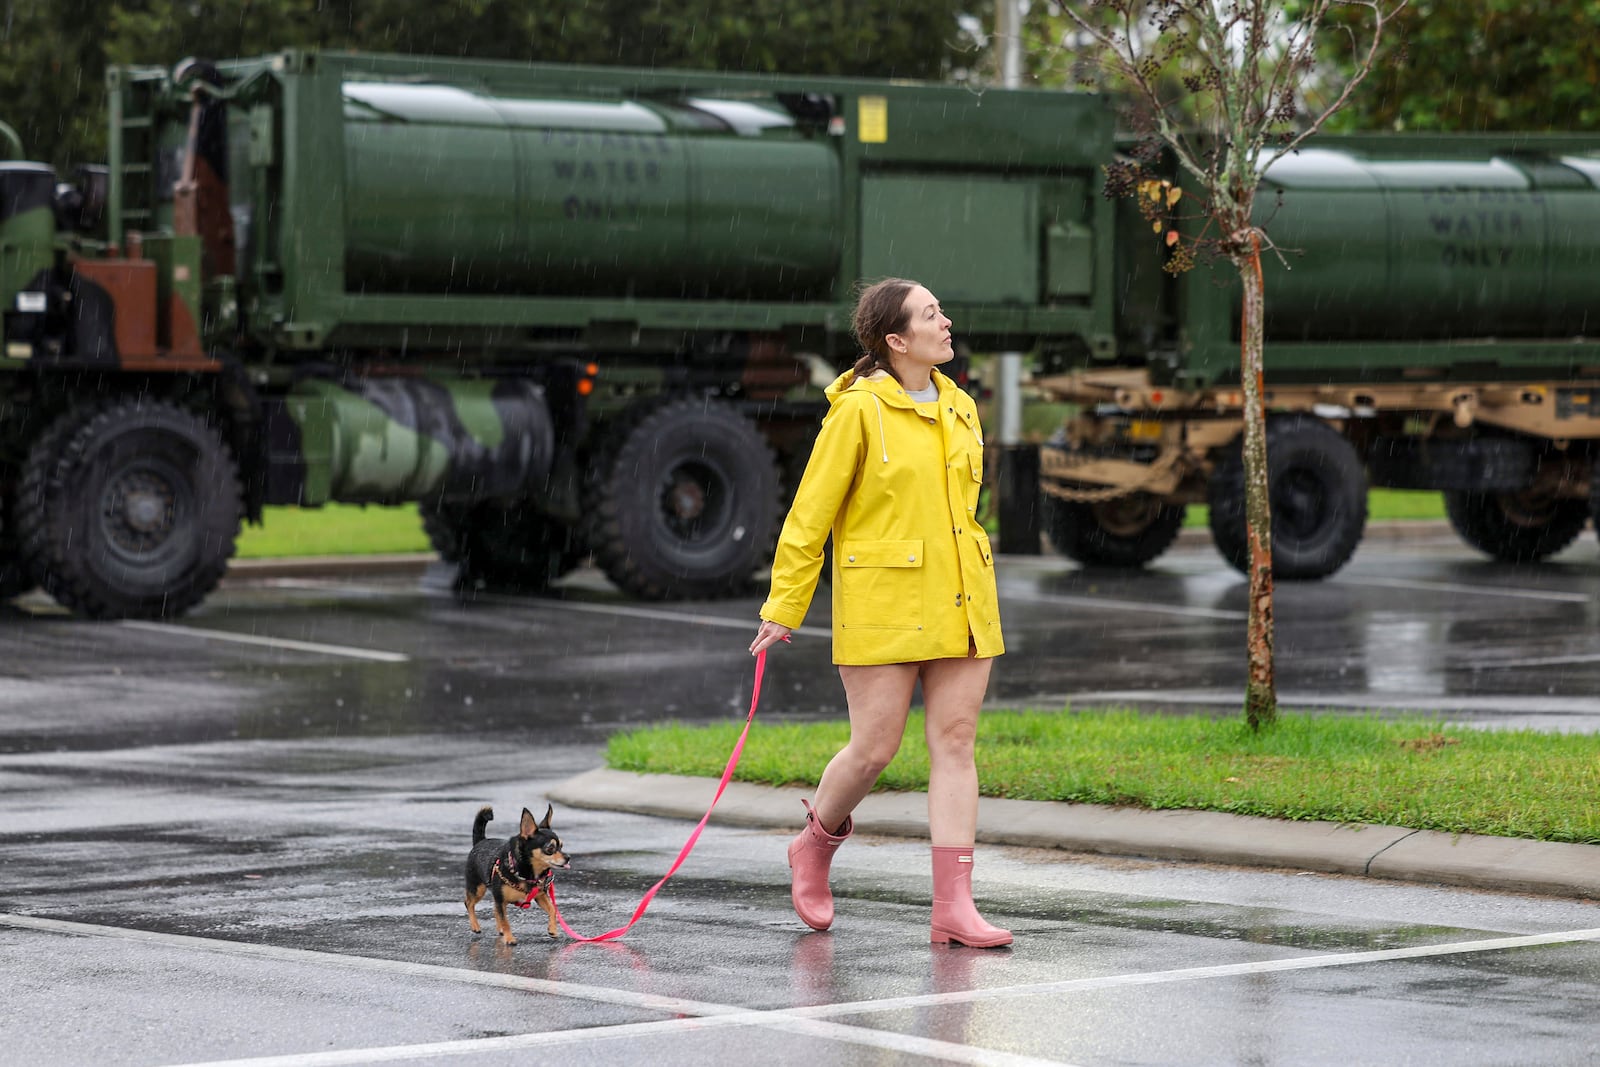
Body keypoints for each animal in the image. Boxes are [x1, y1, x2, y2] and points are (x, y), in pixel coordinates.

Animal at [467, 806, 572, 947]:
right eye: (550, 848)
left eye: (561, 846)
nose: (568, 857)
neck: (528, 874)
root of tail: (481, 841)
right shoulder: (501, 899)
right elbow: (505, 921)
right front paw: (509, 939)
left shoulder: (540, 896)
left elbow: (552, 909)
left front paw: (553, 929)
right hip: (478, 889)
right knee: (469, 903)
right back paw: (475, 926)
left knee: (494, 909)